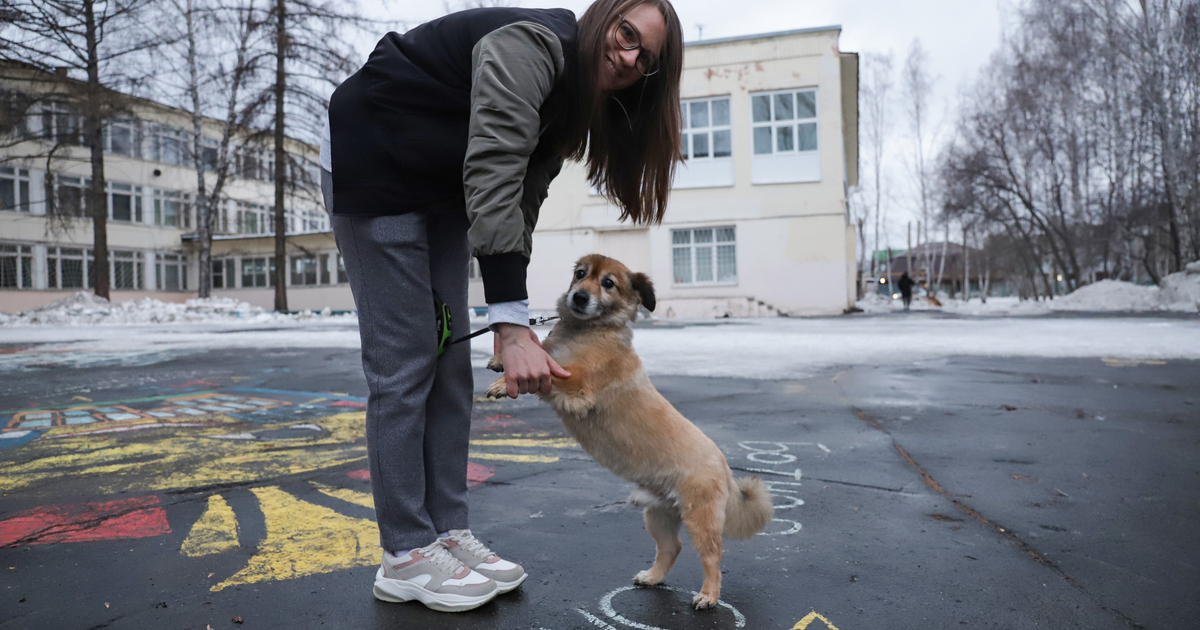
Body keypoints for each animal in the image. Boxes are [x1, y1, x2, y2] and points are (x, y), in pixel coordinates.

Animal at [484, 253, 772, 607]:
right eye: (580, 274)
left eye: (608, 283)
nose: (579, 297)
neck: (587, 332)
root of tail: (724, 466)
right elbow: (539, 349)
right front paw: (502, 358)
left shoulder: (578, 387)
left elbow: (550, 370)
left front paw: (503, 379)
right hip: (659, 516)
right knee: (671, 547)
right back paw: (653, 577)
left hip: (699, 519)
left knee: (712, 556)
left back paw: (708, 595)